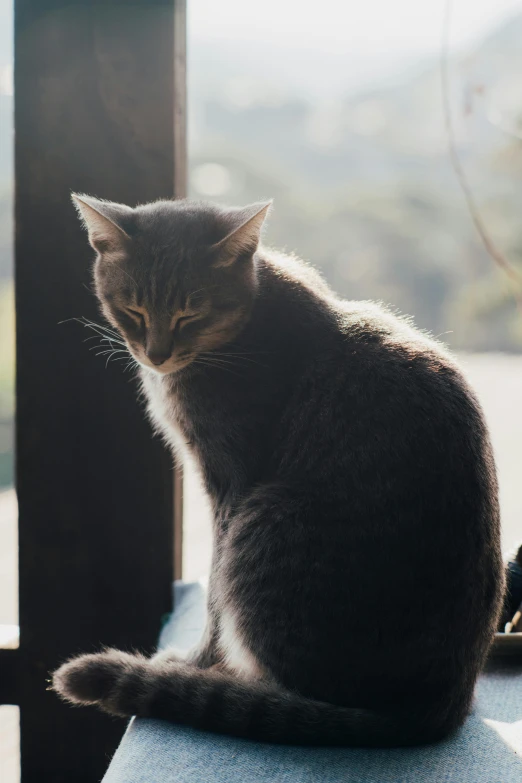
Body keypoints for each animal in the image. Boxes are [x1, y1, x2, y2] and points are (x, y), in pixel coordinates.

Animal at [51, 194, 500, 748]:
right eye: (132, 309)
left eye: (190, 313)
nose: (156, 354)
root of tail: (441, 705)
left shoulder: (230, 485)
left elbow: (214, 596)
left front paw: (195, 662)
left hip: (267, 518)